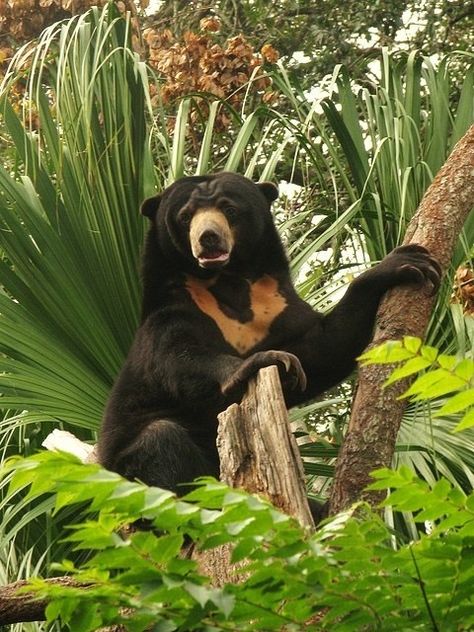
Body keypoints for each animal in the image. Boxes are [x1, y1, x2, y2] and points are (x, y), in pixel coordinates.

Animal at [98, 172, 442, 504]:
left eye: (229, 209)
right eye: (185, 216)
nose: (208, 238)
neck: (226, 280)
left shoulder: (278, 307)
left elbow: (321, 350)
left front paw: (404, 263)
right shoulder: (172, 310)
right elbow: (177, 357)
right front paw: (264, 360)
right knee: (161, 439)